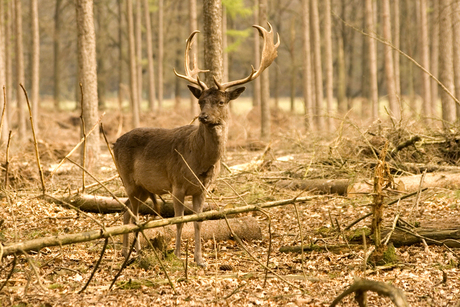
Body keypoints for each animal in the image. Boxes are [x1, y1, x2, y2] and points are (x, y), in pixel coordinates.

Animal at [114, 22, 280, 268]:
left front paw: (200, 259)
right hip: (128, 179)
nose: (203, 117)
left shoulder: (203, 188)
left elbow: (199, 221)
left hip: (143, 187)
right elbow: (179, 221)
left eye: (220, 101)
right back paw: (136, 252)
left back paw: (129, 251)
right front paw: (177, 254)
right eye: (201, 101)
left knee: (126, 209)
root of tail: (115, 142)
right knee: (133, 214)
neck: (200, 160)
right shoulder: (177, 183)